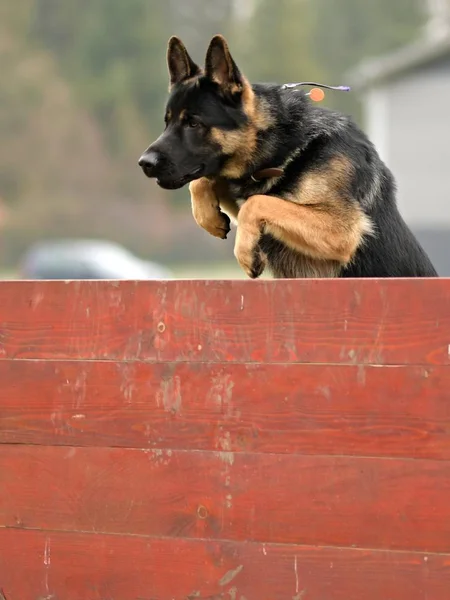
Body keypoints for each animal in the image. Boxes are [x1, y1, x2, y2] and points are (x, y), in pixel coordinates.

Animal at [139, 36, 438, 280]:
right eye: (167, 122)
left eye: (193, 123)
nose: (144, 163)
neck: (283, 147)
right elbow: (207, 183)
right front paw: (209, 217)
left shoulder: (341, 231)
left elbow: (257, 202)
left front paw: (245, 253)